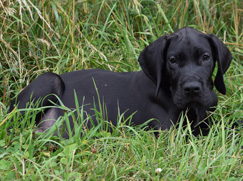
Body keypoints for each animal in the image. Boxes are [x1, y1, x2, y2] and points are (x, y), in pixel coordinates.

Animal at [9, 27, 232, 137]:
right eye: (173, 60)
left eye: (205, 57)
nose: (192, 89)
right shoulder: (170, 134)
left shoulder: (207, 121)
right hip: (50, 80)